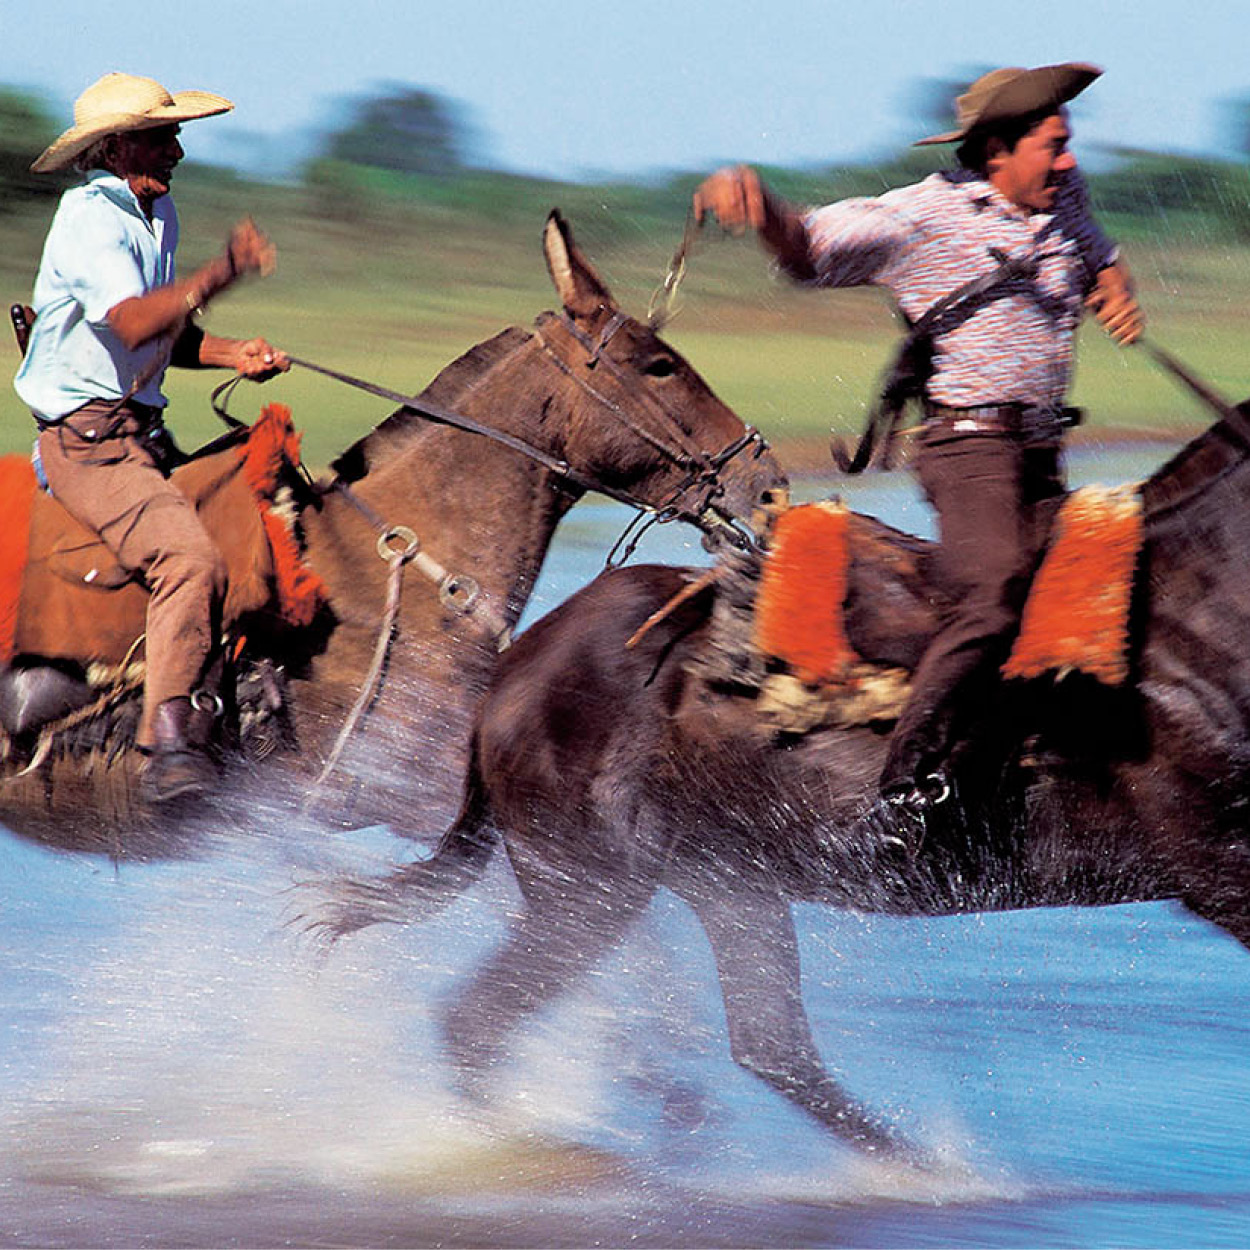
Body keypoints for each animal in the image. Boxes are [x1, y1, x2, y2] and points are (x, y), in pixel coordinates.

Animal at [310, 405, 1250, 1155]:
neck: (1179, 633)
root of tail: (515, 670)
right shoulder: (1216, 871)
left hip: (729, 888)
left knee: (772, 1049)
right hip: (589, 891)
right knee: (480, 1018)